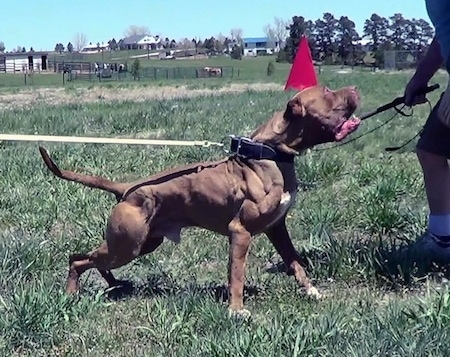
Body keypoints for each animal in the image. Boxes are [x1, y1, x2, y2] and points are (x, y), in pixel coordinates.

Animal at [38, 85, 362, 316]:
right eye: (328, 92)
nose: (355, 88)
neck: (270, 153)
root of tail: (128, 187)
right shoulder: (240, 232)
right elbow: (237, 275)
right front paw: (236, 311)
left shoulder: (277, 229)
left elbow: (295, 263)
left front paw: (311, 291)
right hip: (127, 246)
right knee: (78, 258)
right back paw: (71, 293)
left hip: (140, 244)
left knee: (95, 259)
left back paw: (114, 284)